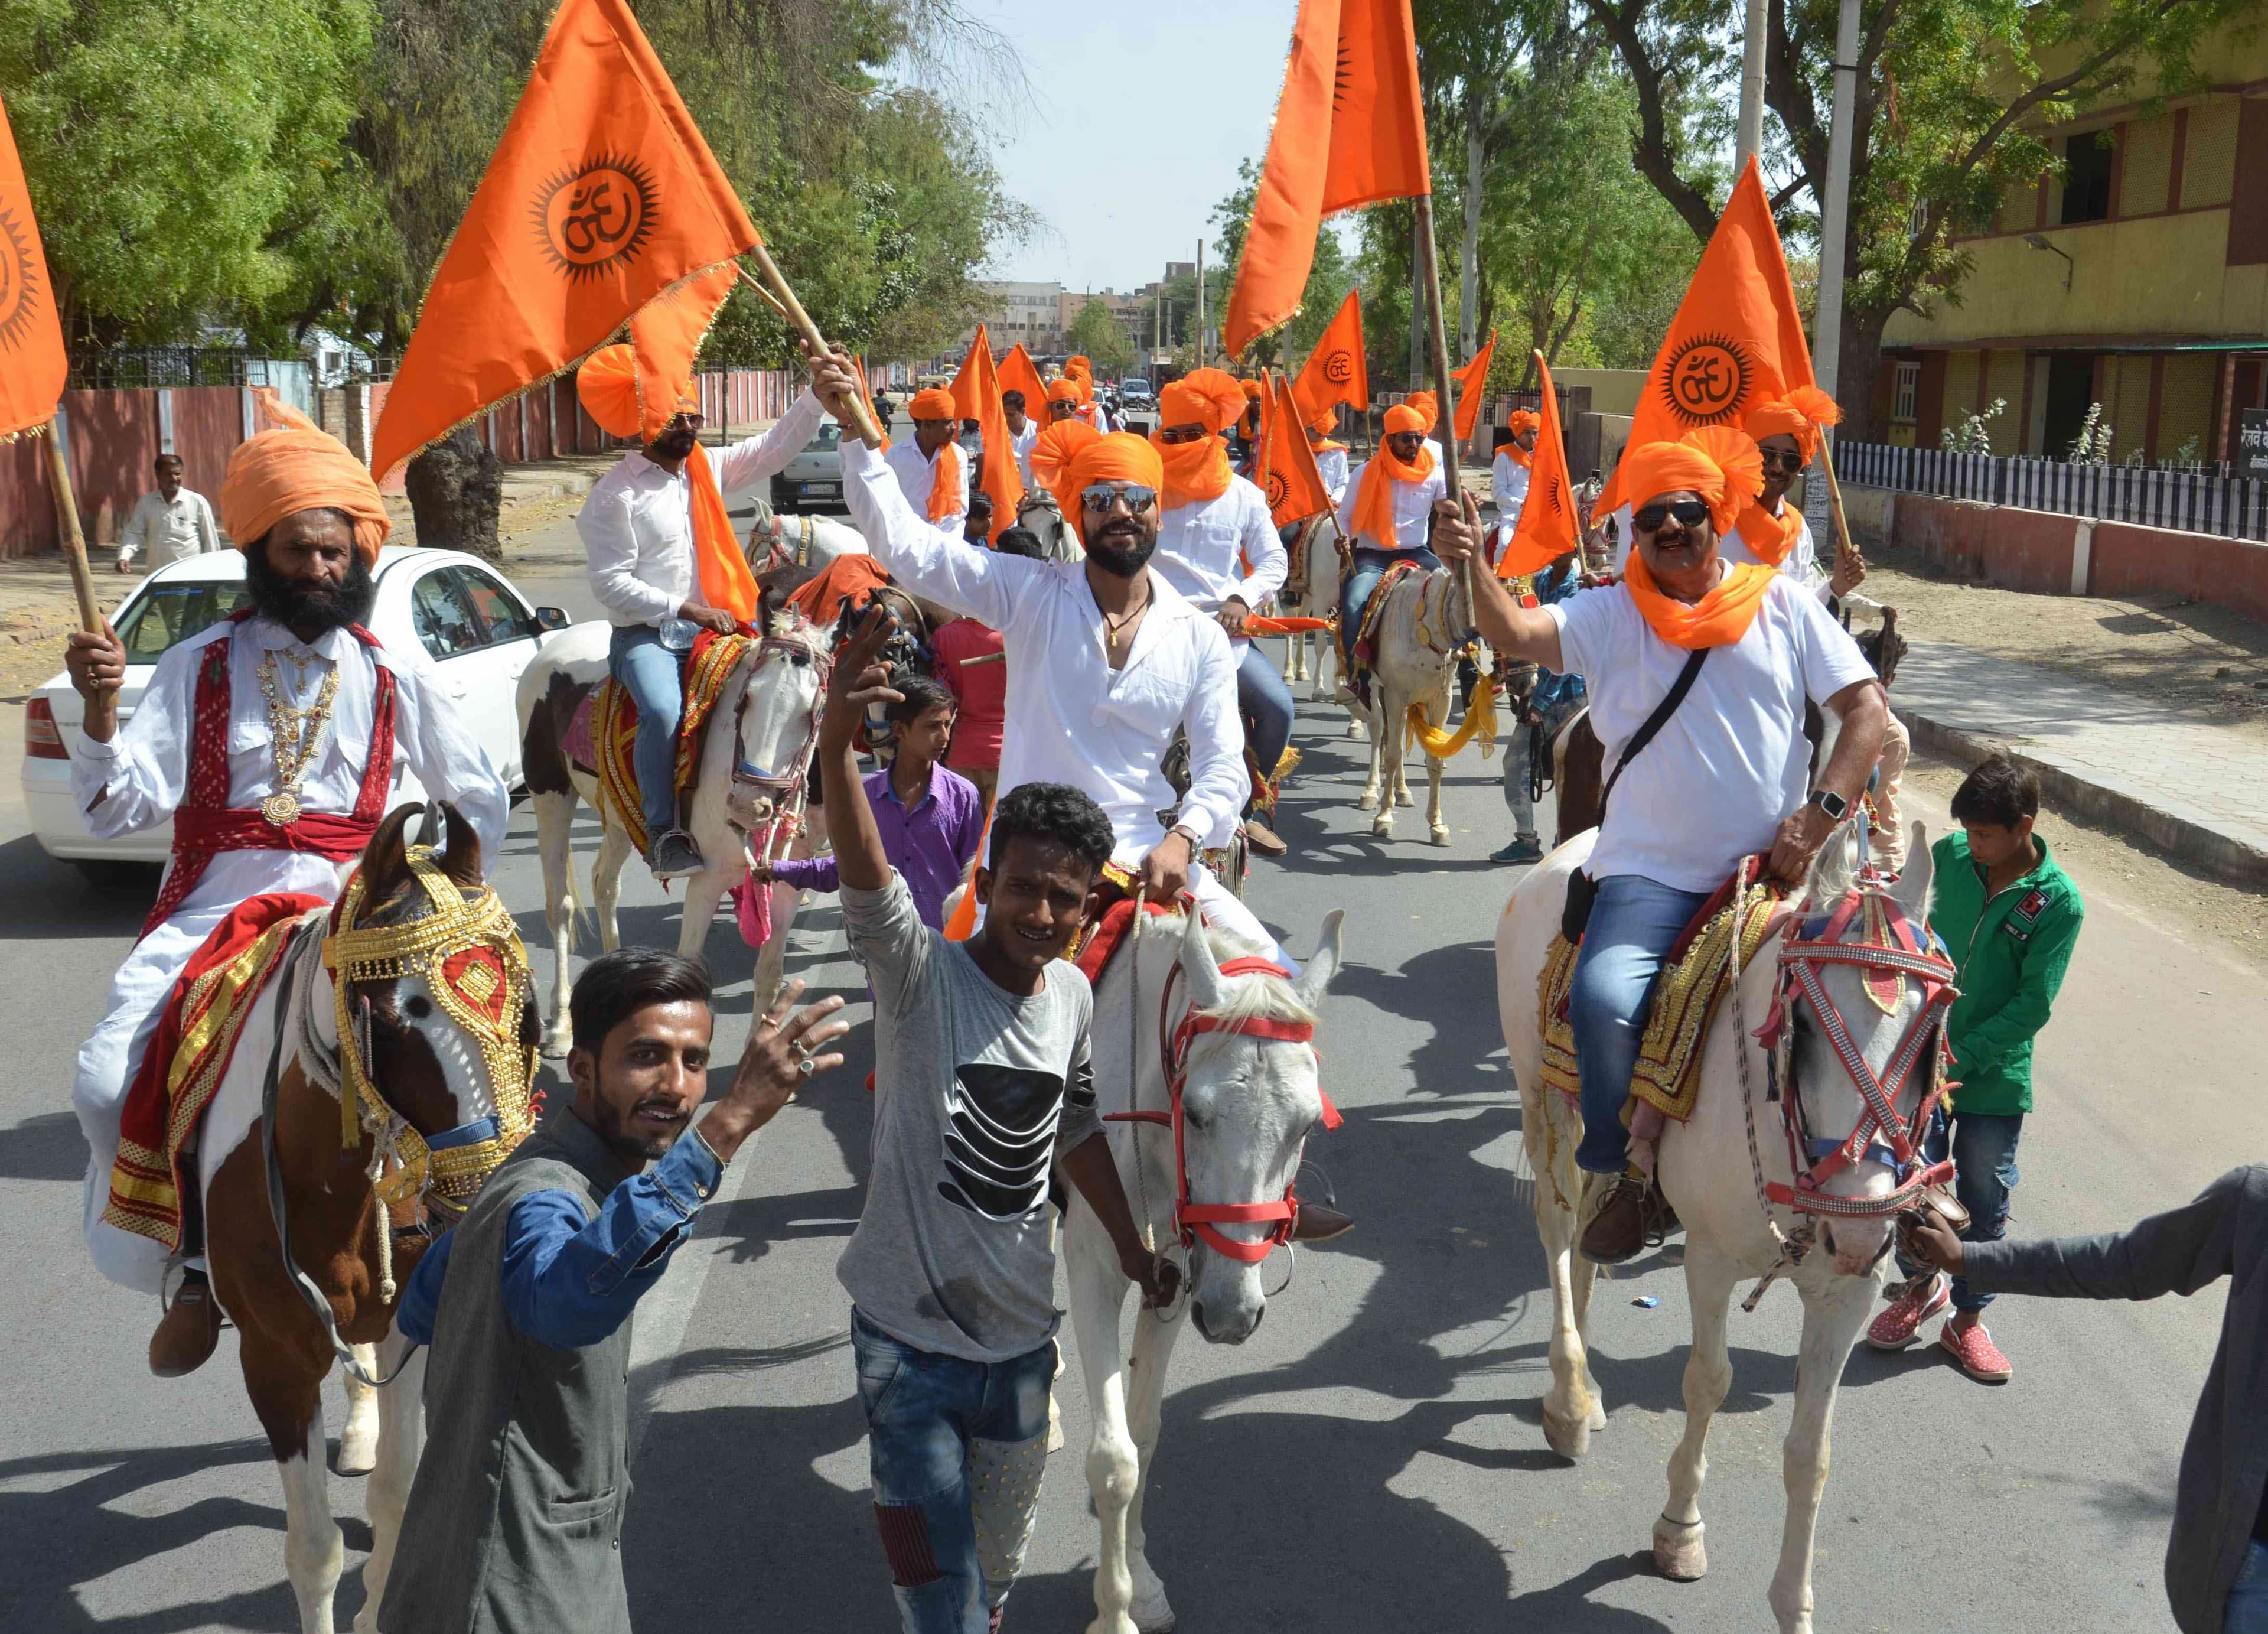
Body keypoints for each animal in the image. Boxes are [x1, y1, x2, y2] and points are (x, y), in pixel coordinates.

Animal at [191, 803, 539, 1634]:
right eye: (400, 1015)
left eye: (520, 1003)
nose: (490, 1191)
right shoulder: (273, 1360)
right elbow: (314, 1550)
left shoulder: (412, 1322)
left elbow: (397, 1498)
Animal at [517, 608, 835, 1053]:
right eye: (746, 700)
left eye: (810, 713)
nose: (748, 805)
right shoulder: (707, 880)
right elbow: (692, 967)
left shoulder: (787, 883)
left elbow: (769, 975)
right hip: (549, 795)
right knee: (560, 907)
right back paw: (562, 1025)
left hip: (619, 818)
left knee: (604, 884)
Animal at [1061, 907, 1342, 1634]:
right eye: (1195, 1112)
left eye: (1307, 1125)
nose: (1232, 1315)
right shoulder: (1095, 1269)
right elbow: (1113, 1461)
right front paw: (1114, 1612)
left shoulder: (1173, 1280)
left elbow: (1144, 1436)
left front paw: (1140, 1580)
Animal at [1342, 562, 1469, 844]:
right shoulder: (1395, 694)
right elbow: (1391, 755)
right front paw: (1383, 818)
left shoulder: (1441, 700)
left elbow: (1434, 759)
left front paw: (1437, 825)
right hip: (1375, 688)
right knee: (1379, 730)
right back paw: (1370, 792)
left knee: (1395, 737)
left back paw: (1403, 793)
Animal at [1497, 821, 1941, 1625]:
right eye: (1803, 1025)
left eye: (1927, 1036)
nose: (1861, 1231)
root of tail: (1572, 846)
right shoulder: (1707, 1262)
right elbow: (1708, 1381)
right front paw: (1679, 1529)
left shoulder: (1849, 1293)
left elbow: (1811, 1451)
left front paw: (1794, 1605)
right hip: (1539, 1095)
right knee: (1558, 1233)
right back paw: (1570, 1401)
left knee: (1590, 1236)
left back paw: (1588, 1392)